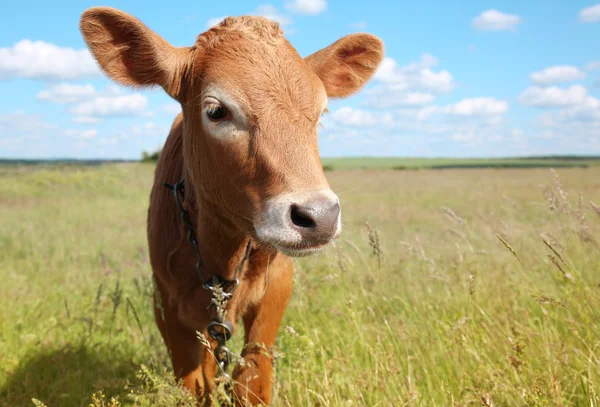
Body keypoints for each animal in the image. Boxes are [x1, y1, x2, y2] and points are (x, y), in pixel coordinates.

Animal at [79, 7, 384, 407]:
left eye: (321, 112)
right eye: (216, 111)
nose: (320, 216)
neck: (220, 252)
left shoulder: (276, 288)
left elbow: (251, 377)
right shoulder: (167, 304)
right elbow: (193, 383)